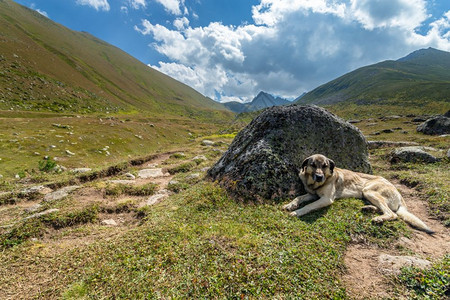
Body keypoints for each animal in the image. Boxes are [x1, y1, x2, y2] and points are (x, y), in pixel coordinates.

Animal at [284, 154, 434, 233]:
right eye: (313, 165)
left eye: (325, 166)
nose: (319, 177)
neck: (316, 184)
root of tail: (398, 193)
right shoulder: (313, 195)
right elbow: (299, 197)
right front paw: (290, 205)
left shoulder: (326, 199)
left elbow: (309, 206)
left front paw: (297, 212)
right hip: (367, 195)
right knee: (385, 209)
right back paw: (369, 208)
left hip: (369, 191)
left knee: (392, 214)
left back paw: (379, 218)